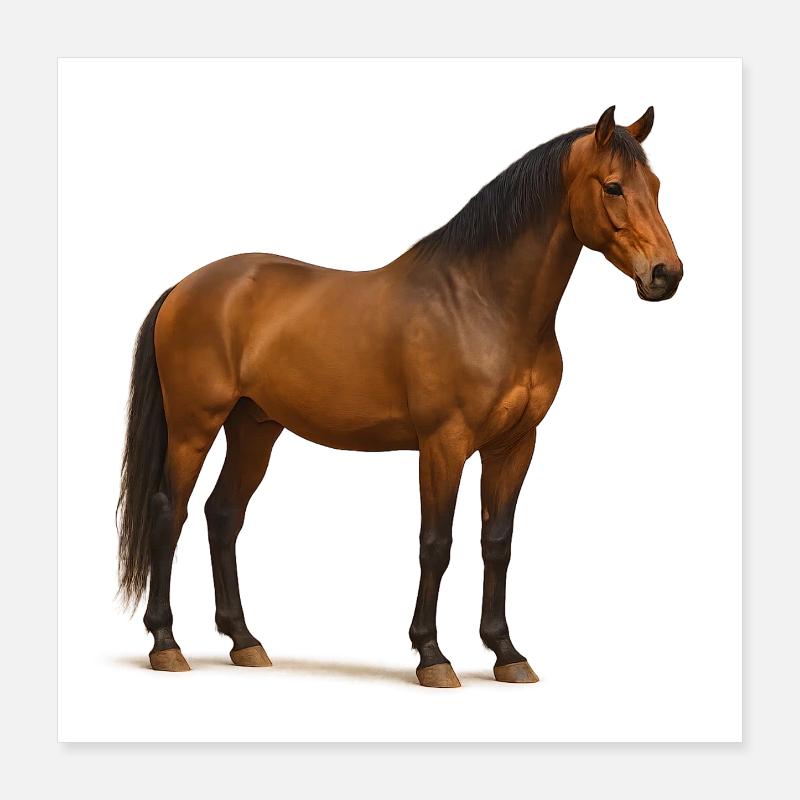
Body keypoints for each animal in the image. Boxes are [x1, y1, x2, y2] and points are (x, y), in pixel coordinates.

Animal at [117, 106, 683, 688]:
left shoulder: (515, 446)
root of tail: (185, 288)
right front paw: (432, 655)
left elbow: (497, 543)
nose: (666, 274)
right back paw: (166, 644)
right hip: (194, 426)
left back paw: (244, 641)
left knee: (223, 515)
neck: (484, 303)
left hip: (254, 430)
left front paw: (506, 652)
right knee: (170, 512)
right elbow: (435, 545)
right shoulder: (443, 444)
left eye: (656, 187)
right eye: (613, 186)